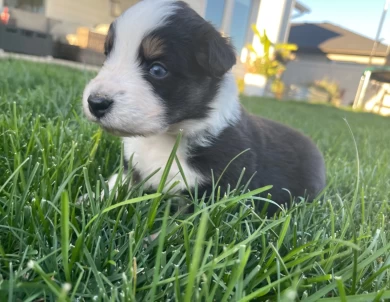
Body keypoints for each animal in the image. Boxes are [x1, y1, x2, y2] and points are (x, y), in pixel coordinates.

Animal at [82, 0, 326, 215]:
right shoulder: (132, 167)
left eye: (158, 70)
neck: (165, 138)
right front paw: (89, 199)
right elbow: (117, 184)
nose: (95, 103)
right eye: (107, 56)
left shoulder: (212, 193)